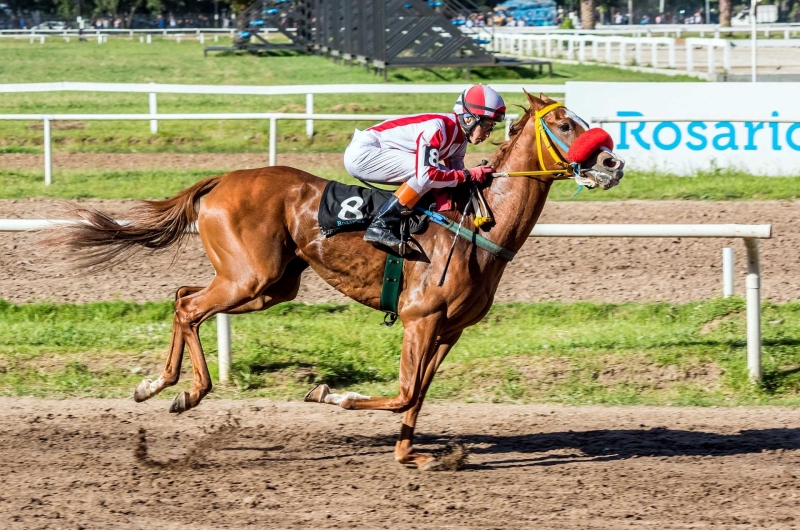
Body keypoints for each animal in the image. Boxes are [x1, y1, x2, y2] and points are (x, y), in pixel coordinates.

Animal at [50, 93, 624, 468]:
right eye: (566, 124)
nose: (612, 162)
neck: (479, 226)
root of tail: (222, 180)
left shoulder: (449, 330)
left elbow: (418, 394)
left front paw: (411, 456)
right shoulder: (419, 318)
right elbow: (402, 392)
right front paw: (330, 394)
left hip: (268, 286)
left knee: (182, 296)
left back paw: (157, 384)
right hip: (248, 277)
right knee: (190, 308)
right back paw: (187, 392)